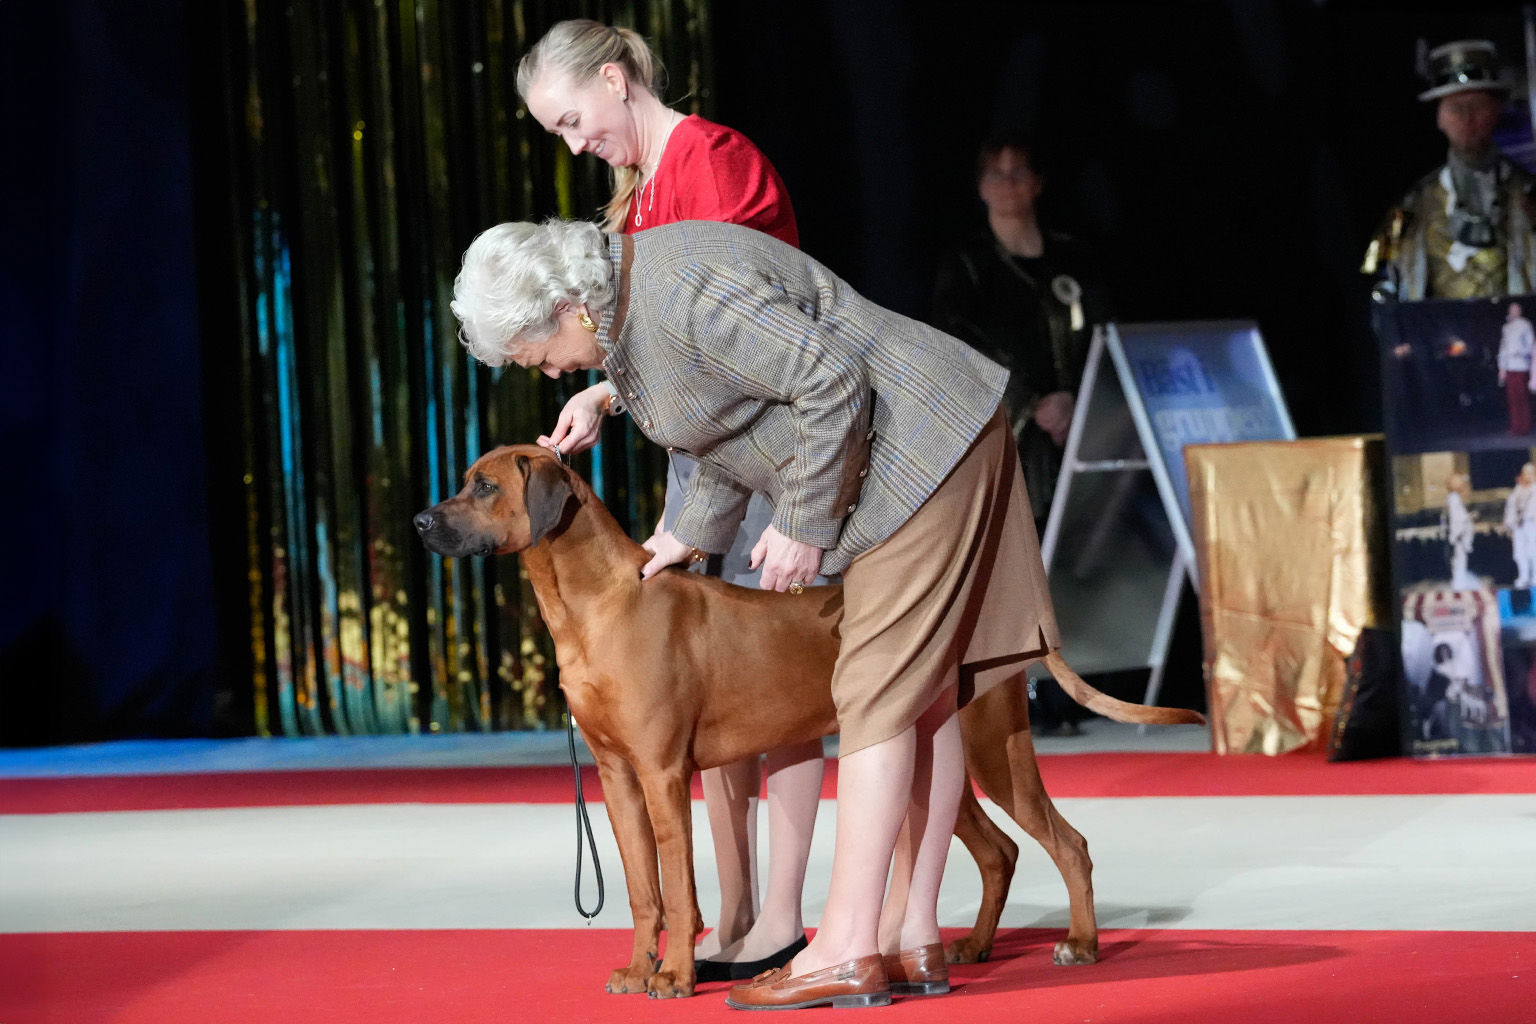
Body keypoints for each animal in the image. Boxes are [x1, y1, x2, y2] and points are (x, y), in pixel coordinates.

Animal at [414, 445, 1204, 994]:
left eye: (486, 486)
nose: (421, 521)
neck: (601, 603)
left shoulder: (664, 774)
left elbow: (680, 890)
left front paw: (676, 978)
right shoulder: (616, 776)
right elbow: (644, 891)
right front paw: (638, 971)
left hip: (990, 745)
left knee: (1068, 843)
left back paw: (1082, 944)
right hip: (934, 752)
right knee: (998, 850)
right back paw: (966, 948)